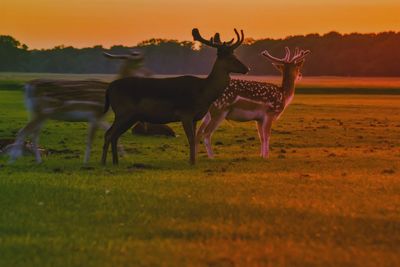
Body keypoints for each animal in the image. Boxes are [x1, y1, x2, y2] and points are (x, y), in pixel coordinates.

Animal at [101, 27, 248, 165]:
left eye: (235, 55)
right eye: (230, 58)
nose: (247, 68)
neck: (203, 93)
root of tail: (109, 88)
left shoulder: (195, 117)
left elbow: (195, 138)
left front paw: (193, 161)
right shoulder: (185, 113)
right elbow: (191, 139)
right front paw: (192, 163)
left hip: (131, 116)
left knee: (114, 135)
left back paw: (115, 162)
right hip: (123, 112)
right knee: (109, 134)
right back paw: (103, 162)